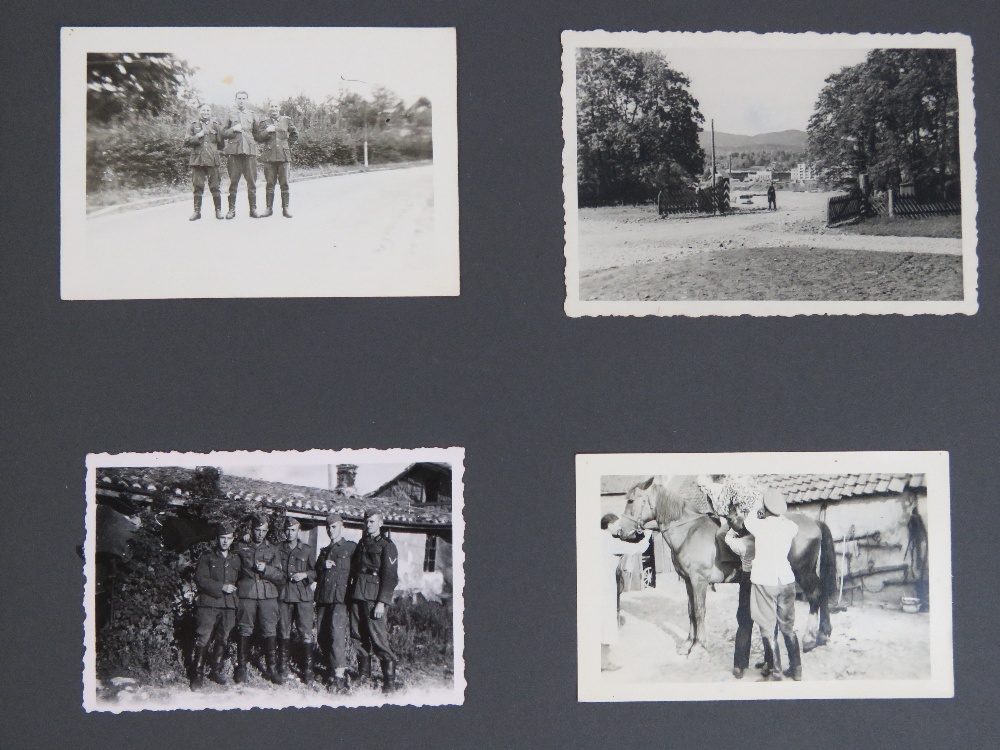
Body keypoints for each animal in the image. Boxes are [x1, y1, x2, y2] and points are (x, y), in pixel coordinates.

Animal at [616, 476, 836, 656]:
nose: (620, 531)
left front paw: (699, 646)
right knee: (822, 592)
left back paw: (809, 639)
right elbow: (690, 611)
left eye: (631, 500)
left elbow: (699, 611)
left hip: (802, 571)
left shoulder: (699, 581)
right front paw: (687, 644)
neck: (689, 531)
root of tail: (814, 522)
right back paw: (823, 635)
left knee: (815, 595)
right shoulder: (688, 581)